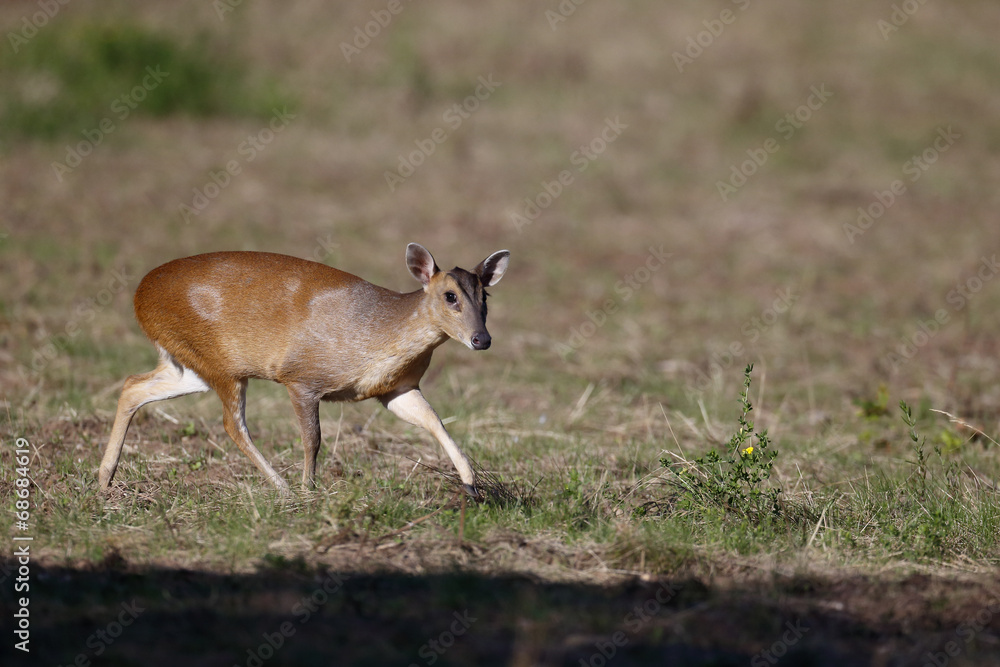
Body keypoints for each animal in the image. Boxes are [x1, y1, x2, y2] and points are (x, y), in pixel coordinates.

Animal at [98, 243, 512, 498]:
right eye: (450, 296)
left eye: (485, 296)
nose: (482, 339)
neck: (379, 331)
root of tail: (140, 295)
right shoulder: (301, 379)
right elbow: (312, 439)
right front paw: (308, 489)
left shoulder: (396, 389)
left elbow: (435, 421)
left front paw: (472, 485)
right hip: (219, 362)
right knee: (232, 424)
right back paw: (282, 489)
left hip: (190, 363)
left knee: (133, 385)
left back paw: (103, 479)